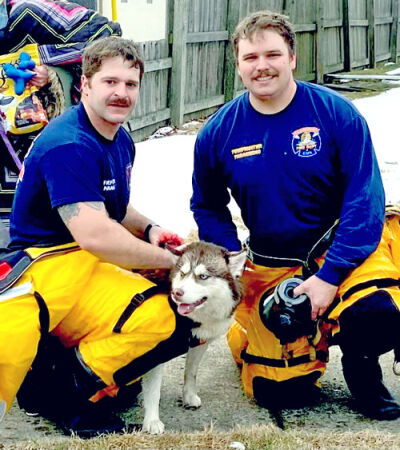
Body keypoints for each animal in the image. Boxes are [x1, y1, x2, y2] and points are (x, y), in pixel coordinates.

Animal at [141, 241, 247, 434]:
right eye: (183, 274)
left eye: (203, 276)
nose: (177, 293)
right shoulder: (157, 351)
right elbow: (154, 390)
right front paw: (152, 420)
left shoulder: (200, 342)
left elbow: (191, 372)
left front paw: (189, 396)